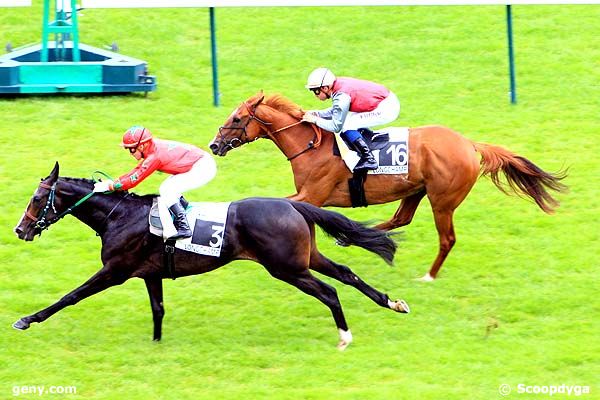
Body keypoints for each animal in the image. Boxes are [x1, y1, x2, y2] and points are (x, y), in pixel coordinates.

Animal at [14, 162, 410, 350]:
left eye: (37, 199)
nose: (20, 230)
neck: (118, 216)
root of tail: (293, 205)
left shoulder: (115, 270)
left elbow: (71, 296)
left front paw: (26, 320)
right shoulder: (150, 273)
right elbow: (158, 308)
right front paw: (156, 344)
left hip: (286, 268)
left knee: (329, 291)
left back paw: (344, 336)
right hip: (304, 257)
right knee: (346, 273)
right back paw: (393, 302)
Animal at [210, 93, 568, 282]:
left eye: (238, 119)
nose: (215, 145)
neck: (310, 144)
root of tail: (468, 143)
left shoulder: (313, 193)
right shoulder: (312, 196)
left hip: (442, 200)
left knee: (447, 238)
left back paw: (428, 276)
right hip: (416, 191)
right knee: (401, 219)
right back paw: (357, 237)